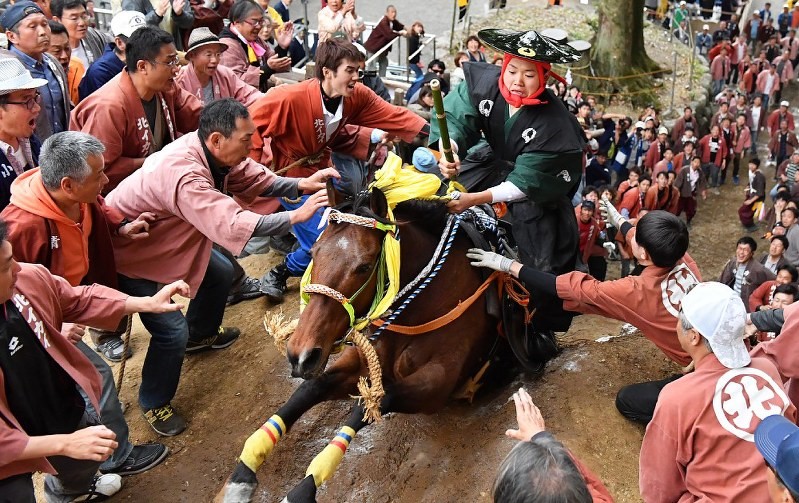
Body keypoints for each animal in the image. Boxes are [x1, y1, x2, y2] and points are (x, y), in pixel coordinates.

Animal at [216, 186, 506, 503]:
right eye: (313, 253)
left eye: (364, 266)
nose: (300, 354)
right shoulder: (362, 358)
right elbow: (308, 390)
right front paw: (241, 475)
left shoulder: (439, 381)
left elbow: (375, 401)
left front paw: (301, 490)